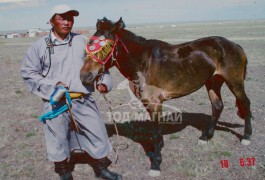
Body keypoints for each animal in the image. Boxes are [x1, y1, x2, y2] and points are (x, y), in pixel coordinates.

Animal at [80, 17, 252, 177]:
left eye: (106, 45)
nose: (85, 75)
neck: (143, 62)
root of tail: (235, 46)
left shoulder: (155, 103)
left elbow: (156, 133)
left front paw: (156, 165)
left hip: (234, 82)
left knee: (245, 103)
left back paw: (246, 137)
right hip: (213, 82)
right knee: (217, 106)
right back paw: (205, 137)